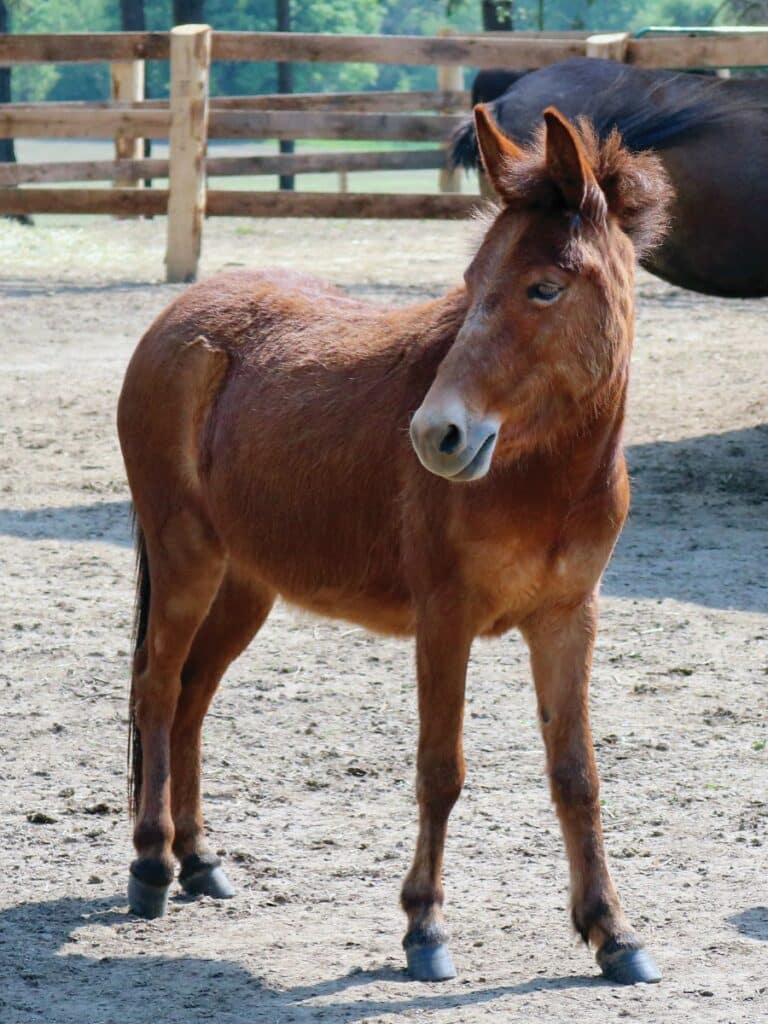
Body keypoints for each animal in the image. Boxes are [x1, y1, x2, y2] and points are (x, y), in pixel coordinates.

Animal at [118, 103, 671, 983]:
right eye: (472, 284)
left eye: (544, 287)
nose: (437, 435)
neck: (544, 479)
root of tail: (176, 321)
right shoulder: (444, 619)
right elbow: (440, 771)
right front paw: (424, 929)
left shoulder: (567, 620)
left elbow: (576, 775)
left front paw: (612, 933)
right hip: (185, 563)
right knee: (158, 691)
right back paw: (150, 865)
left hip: (245, 583)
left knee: (194, 698)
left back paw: (201, 861)